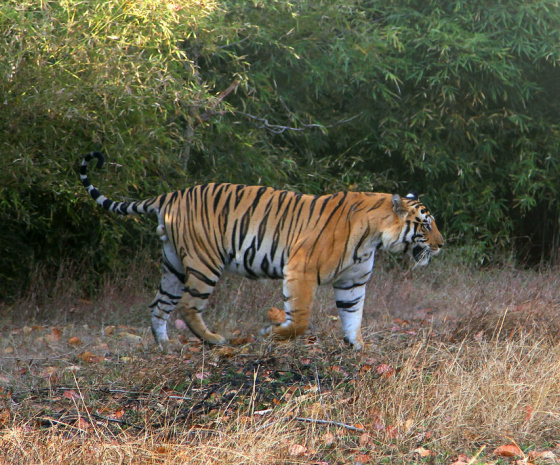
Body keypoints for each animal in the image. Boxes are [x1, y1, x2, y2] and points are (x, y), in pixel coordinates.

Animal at [80, 150, 446, 350]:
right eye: (426, 224)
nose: (443, 245)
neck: (374, 238)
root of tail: (171, 195)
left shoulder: (352, 282)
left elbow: (353, 315)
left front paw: (358, 347)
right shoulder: (301, 270)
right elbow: (299, 319)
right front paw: (272, 332)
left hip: (173, 265)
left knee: (159, 306)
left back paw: (166, 347)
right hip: (203, 262)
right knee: (186, 306)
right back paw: (214, 340)